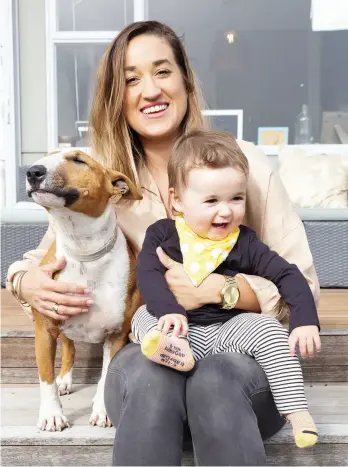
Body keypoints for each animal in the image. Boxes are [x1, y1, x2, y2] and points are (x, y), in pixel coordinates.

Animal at [25, 150, 143, 432]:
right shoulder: (45, 329)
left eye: (79, 160)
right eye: (45, 157)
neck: (84, 251)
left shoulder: (117, 334)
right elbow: (45, 377)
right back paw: (65, 380)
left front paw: (103, 411)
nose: (33, 171)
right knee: (69, 347)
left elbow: (106, 375)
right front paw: (52, 414)